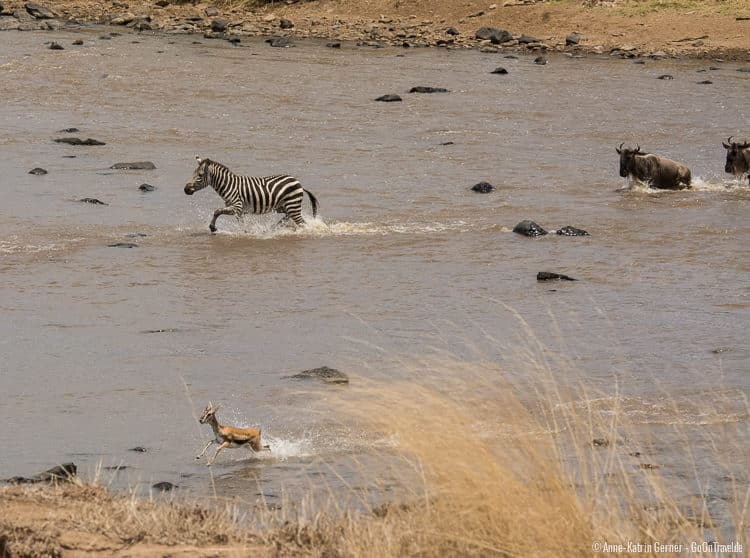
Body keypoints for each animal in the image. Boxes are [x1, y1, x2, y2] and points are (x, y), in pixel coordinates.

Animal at [187, 158, 320, 234]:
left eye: (200, 176)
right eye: (193, 173)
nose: (185, 189)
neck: (229, 185)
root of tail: (299, 183)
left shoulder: (237, 207)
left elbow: (217, 211)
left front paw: (213, 228)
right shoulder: (239, 211)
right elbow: (239, 222)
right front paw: (246, 232)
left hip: (292, 205)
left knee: (302, 223)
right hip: (283, 207)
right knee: (287, 217)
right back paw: (274, 227)